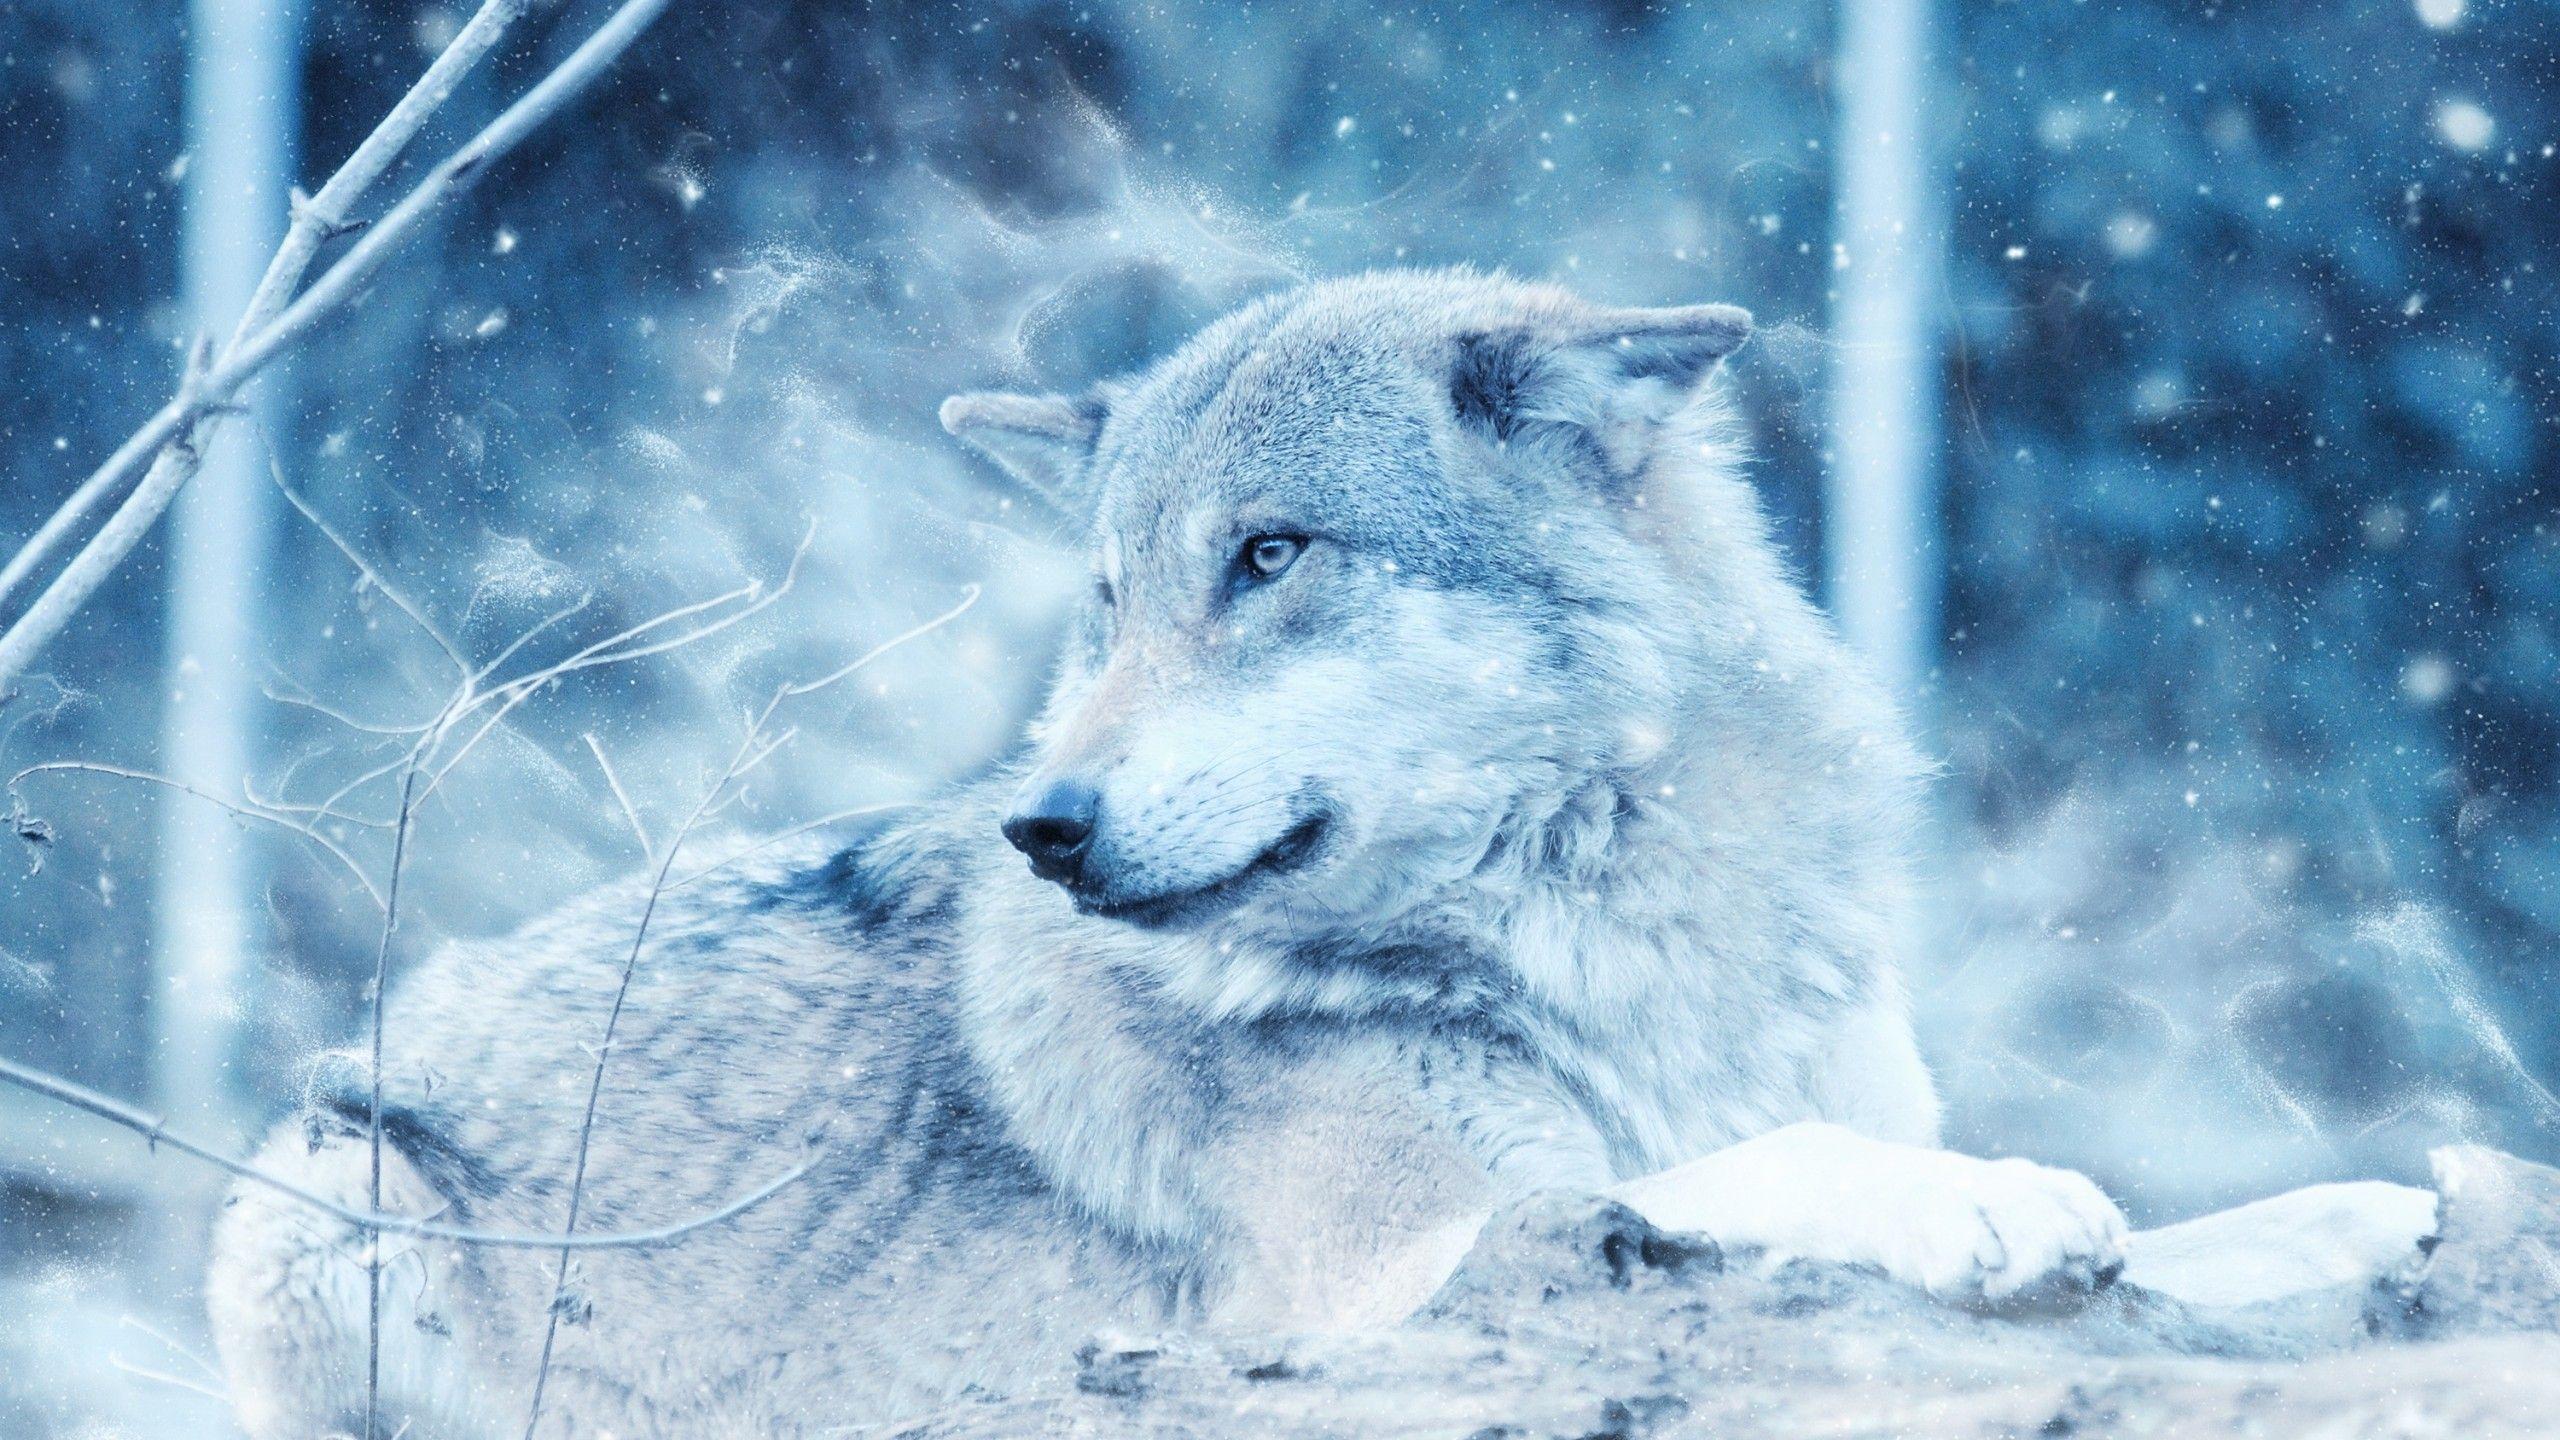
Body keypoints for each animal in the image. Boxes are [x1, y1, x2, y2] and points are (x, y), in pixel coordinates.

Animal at [211, 268, 2325, 1438]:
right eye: (1108, 596)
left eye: (1271, 555)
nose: (1042, 828)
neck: (1622, 941)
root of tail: (413, 1004)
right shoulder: (1398, 1272)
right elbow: (1767, 1171)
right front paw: (1993, 1203)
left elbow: (2255, 1228)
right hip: (318, 1193)